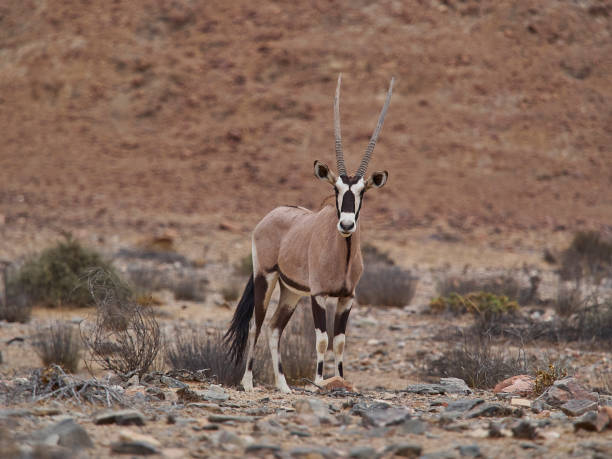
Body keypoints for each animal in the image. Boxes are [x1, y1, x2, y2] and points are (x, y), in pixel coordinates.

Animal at [227, 76, 394, 396]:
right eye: (336, 189)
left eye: (362, 192)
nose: (346, 225)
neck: (342, 255)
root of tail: (270, 216)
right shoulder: (318, 295)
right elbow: (321, 339)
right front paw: (319, 381)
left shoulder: (347, 297)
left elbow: (339, 342)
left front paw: (340, 379)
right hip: (265, 278)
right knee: (256, 325)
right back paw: (248, 382)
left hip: (291, 292)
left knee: (274, 327)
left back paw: (283, 386)